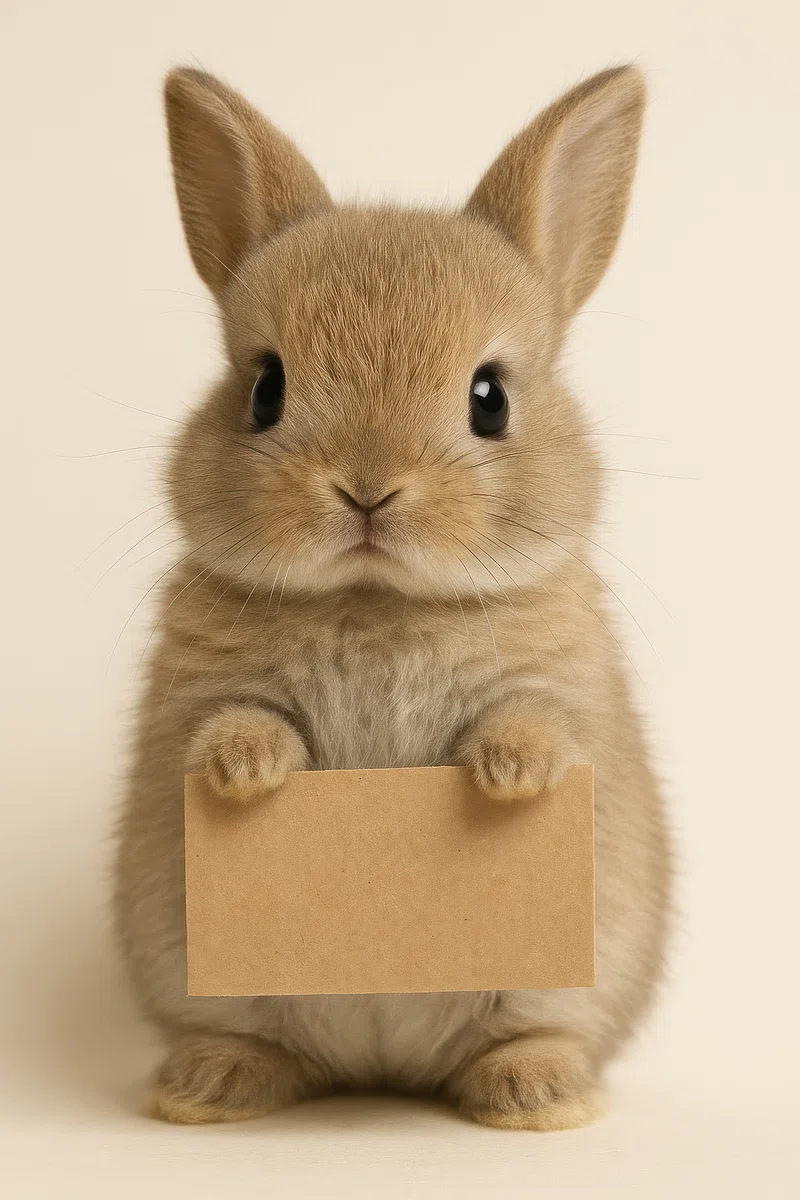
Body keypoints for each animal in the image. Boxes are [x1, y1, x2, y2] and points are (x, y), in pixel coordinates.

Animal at [115, 63, 671, 1131]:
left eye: (490, 397)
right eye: (266, 390)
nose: (366, 490)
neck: (377, 600)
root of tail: (380, 1067)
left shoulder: (560, 688)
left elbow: (537, 722)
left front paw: (508, 774)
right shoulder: (200, 693)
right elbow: (232, 722)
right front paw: (249, 771)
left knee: (528, 1037)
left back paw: (536, 1096)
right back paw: (206, 1090)